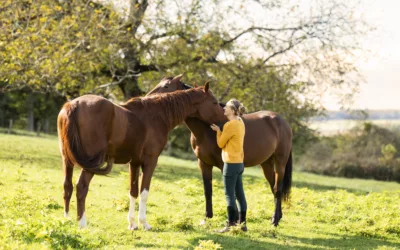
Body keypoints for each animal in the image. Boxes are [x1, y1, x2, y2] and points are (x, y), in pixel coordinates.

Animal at [57, 81, 223, 229]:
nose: (222, 122)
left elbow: (133, 191)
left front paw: (132, 224)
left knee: (67, 186)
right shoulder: (150, 161)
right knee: (81, 188)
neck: (157, 114)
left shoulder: (134, 163)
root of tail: (73, 105)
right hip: (90, 164)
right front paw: (144, 223)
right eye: (214, 102)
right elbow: (144, 192)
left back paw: (66, 220)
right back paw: (82, 224)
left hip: (67, 160)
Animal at [148, 77, 292, 227]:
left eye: (166, 86)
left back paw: (275, 220)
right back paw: (277, 217)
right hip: (266, 164)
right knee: (274, 187)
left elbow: (230, 192)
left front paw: (234, 221)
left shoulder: (225, 166)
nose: (149, 97)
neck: (207, 131)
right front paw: (207, 217)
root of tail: (281, 121)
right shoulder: (204, 164)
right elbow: (208, 190)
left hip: (280, 162)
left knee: (278, 189)